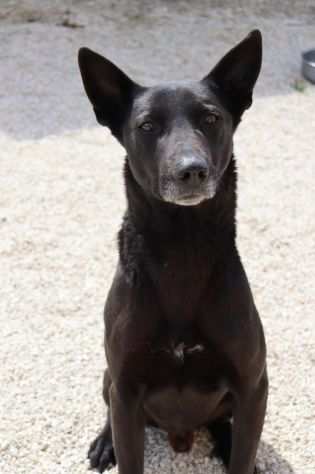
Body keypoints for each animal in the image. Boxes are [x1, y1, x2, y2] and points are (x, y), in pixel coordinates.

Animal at [78, 29, 268, 474]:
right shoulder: (126, 389)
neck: (182, 248)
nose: (191, 170)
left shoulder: (254, 386)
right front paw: (111, 445)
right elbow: (129, 452)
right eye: (147, 125)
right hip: (109, 379)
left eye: (211, 119)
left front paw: (239, 455)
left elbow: (243, 453)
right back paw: (104, 442)